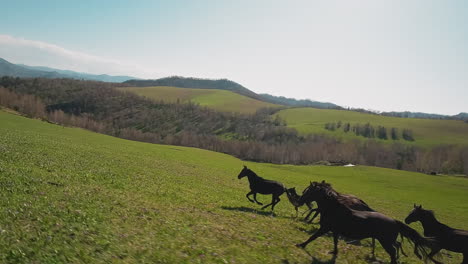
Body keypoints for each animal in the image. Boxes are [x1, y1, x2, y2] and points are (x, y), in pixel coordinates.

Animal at [294, 182, 436, 264]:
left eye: (308, 191)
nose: (299, 201)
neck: (333, 208)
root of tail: (395, 221)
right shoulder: (334, 230)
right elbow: (335, 242)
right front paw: (334, 252)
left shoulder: (325, 228)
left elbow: (313, 237)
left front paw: (301, 244)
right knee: (395, 248)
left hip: (385, 241)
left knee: (393, 251)